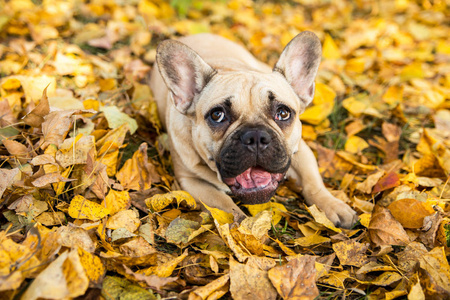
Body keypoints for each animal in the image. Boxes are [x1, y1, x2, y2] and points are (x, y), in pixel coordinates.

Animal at [151, 32, 358, 227]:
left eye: (283, 113)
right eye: (217, 115)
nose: (256, 137)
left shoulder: (300, 151)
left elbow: (312, 180)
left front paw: (332, 205)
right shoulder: (190, 181)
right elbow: (223, 204)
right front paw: (241, 228)